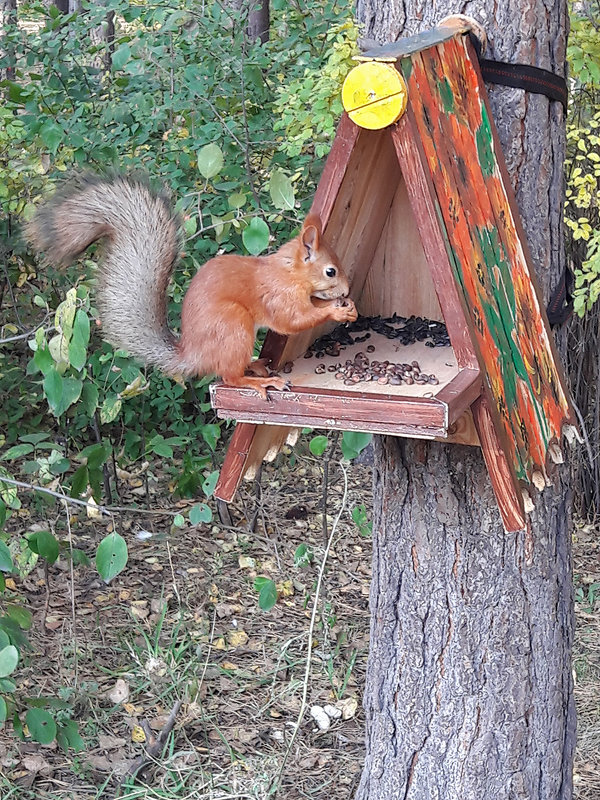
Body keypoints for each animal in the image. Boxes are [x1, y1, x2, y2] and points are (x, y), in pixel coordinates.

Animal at [27, 176, 356, 400]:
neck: (290, 273)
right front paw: (336, 311)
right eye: (330, 271)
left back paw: (256, 366)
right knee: (229, 378)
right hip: (233, 326)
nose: (346, 291)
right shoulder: (278, 295)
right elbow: (293, 320)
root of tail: (193, 354)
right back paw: (260, 381)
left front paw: (344, 307)